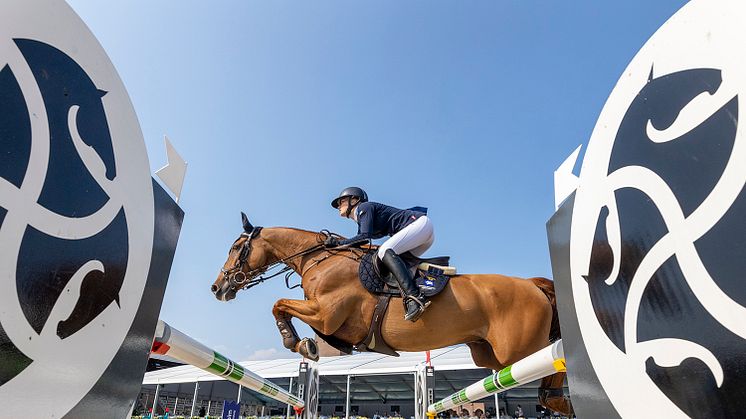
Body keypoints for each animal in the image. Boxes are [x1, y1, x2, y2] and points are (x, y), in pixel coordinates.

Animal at [212, 217, 572, 416]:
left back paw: (558, 402)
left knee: (555, 362)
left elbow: (279, 304)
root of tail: (532, 284)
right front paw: (307, 345)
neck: (319, 259)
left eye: (235, 247)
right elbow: (284, 308)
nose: (218, 287)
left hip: (519, 351)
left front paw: (299, 344)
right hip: (492, 356)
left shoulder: (326, 314)